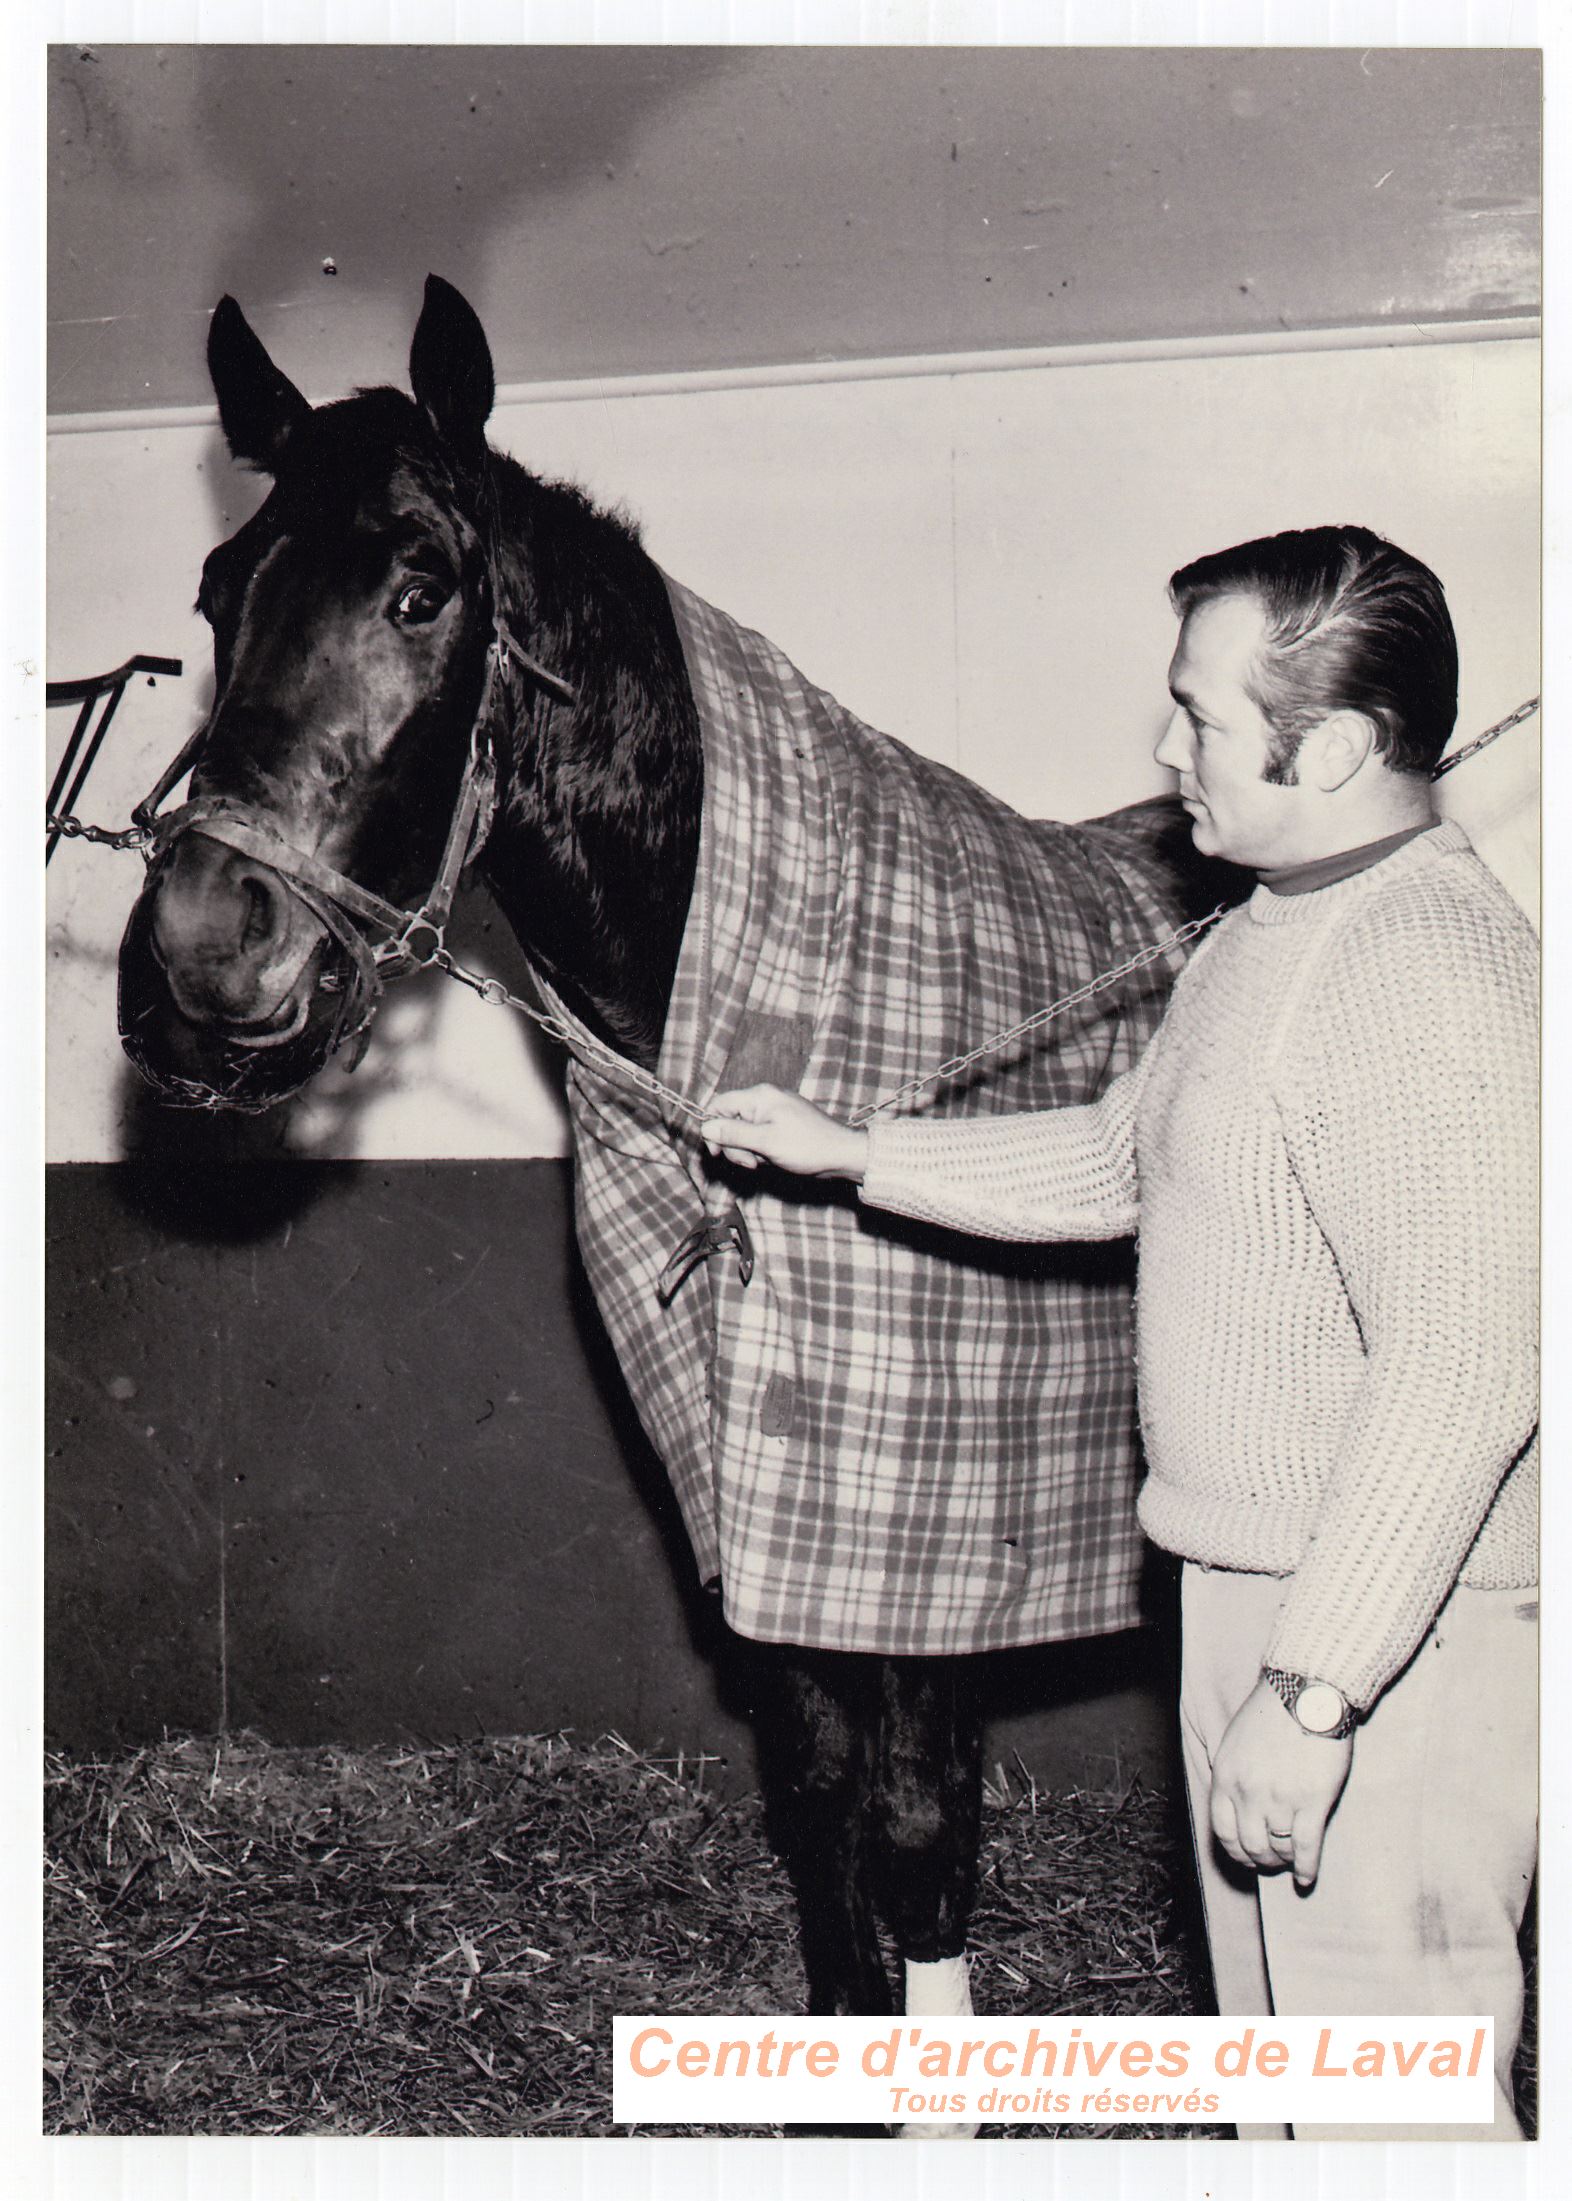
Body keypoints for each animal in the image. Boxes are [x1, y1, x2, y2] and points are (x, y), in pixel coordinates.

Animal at [116, 279, 1232, 2112]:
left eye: (421, 586)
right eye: (220, 593)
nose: (204, 969)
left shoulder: (927, 1552)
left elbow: (920, 1838)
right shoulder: (766, 1521)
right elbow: (823, 1807)